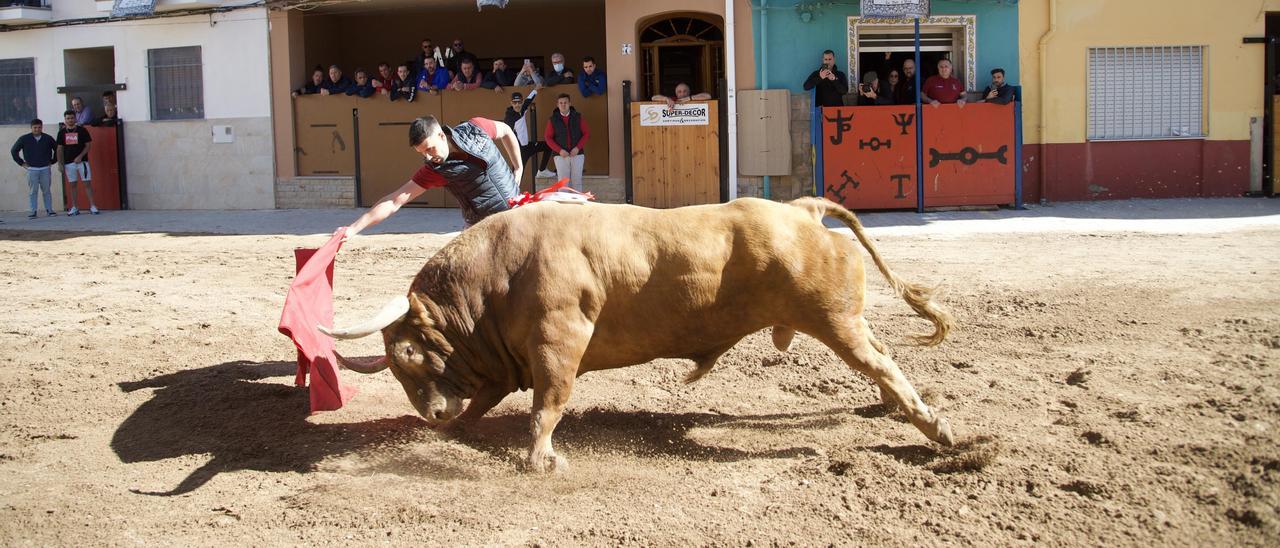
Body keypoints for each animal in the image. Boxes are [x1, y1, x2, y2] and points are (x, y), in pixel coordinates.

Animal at [322, 197, 962, 471]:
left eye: (408, 352)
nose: (431, 415)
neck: (497, 275)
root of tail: (800, 209)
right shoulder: (509, 361)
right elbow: (486, 400)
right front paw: (455, 433)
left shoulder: (559, 341)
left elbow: (547, 404)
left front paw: (539, 460)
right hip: (845, 320)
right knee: (882, 355)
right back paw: (889, 411)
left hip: (833, 321)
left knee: (883, 365)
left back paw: (938, 430)